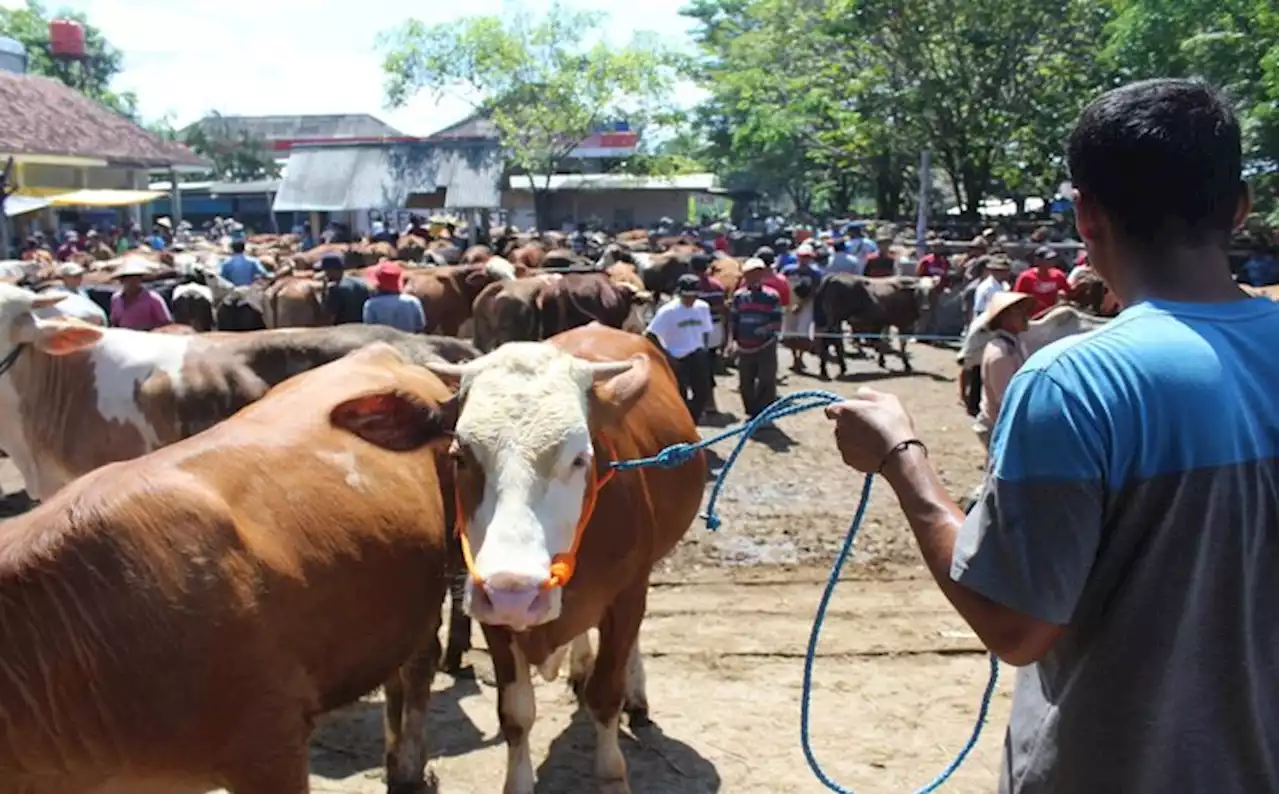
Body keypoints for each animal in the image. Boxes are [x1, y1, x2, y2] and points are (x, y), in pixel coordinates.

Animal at [427, 324, 711, 794]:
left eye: (580, 458)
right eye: (459, 455)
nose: (514, 592)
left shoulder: (625, 595)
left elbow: (606, 694)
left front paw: (612, 773)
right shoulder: (489, 610)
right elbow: (516, 713)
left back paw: (636, 694)